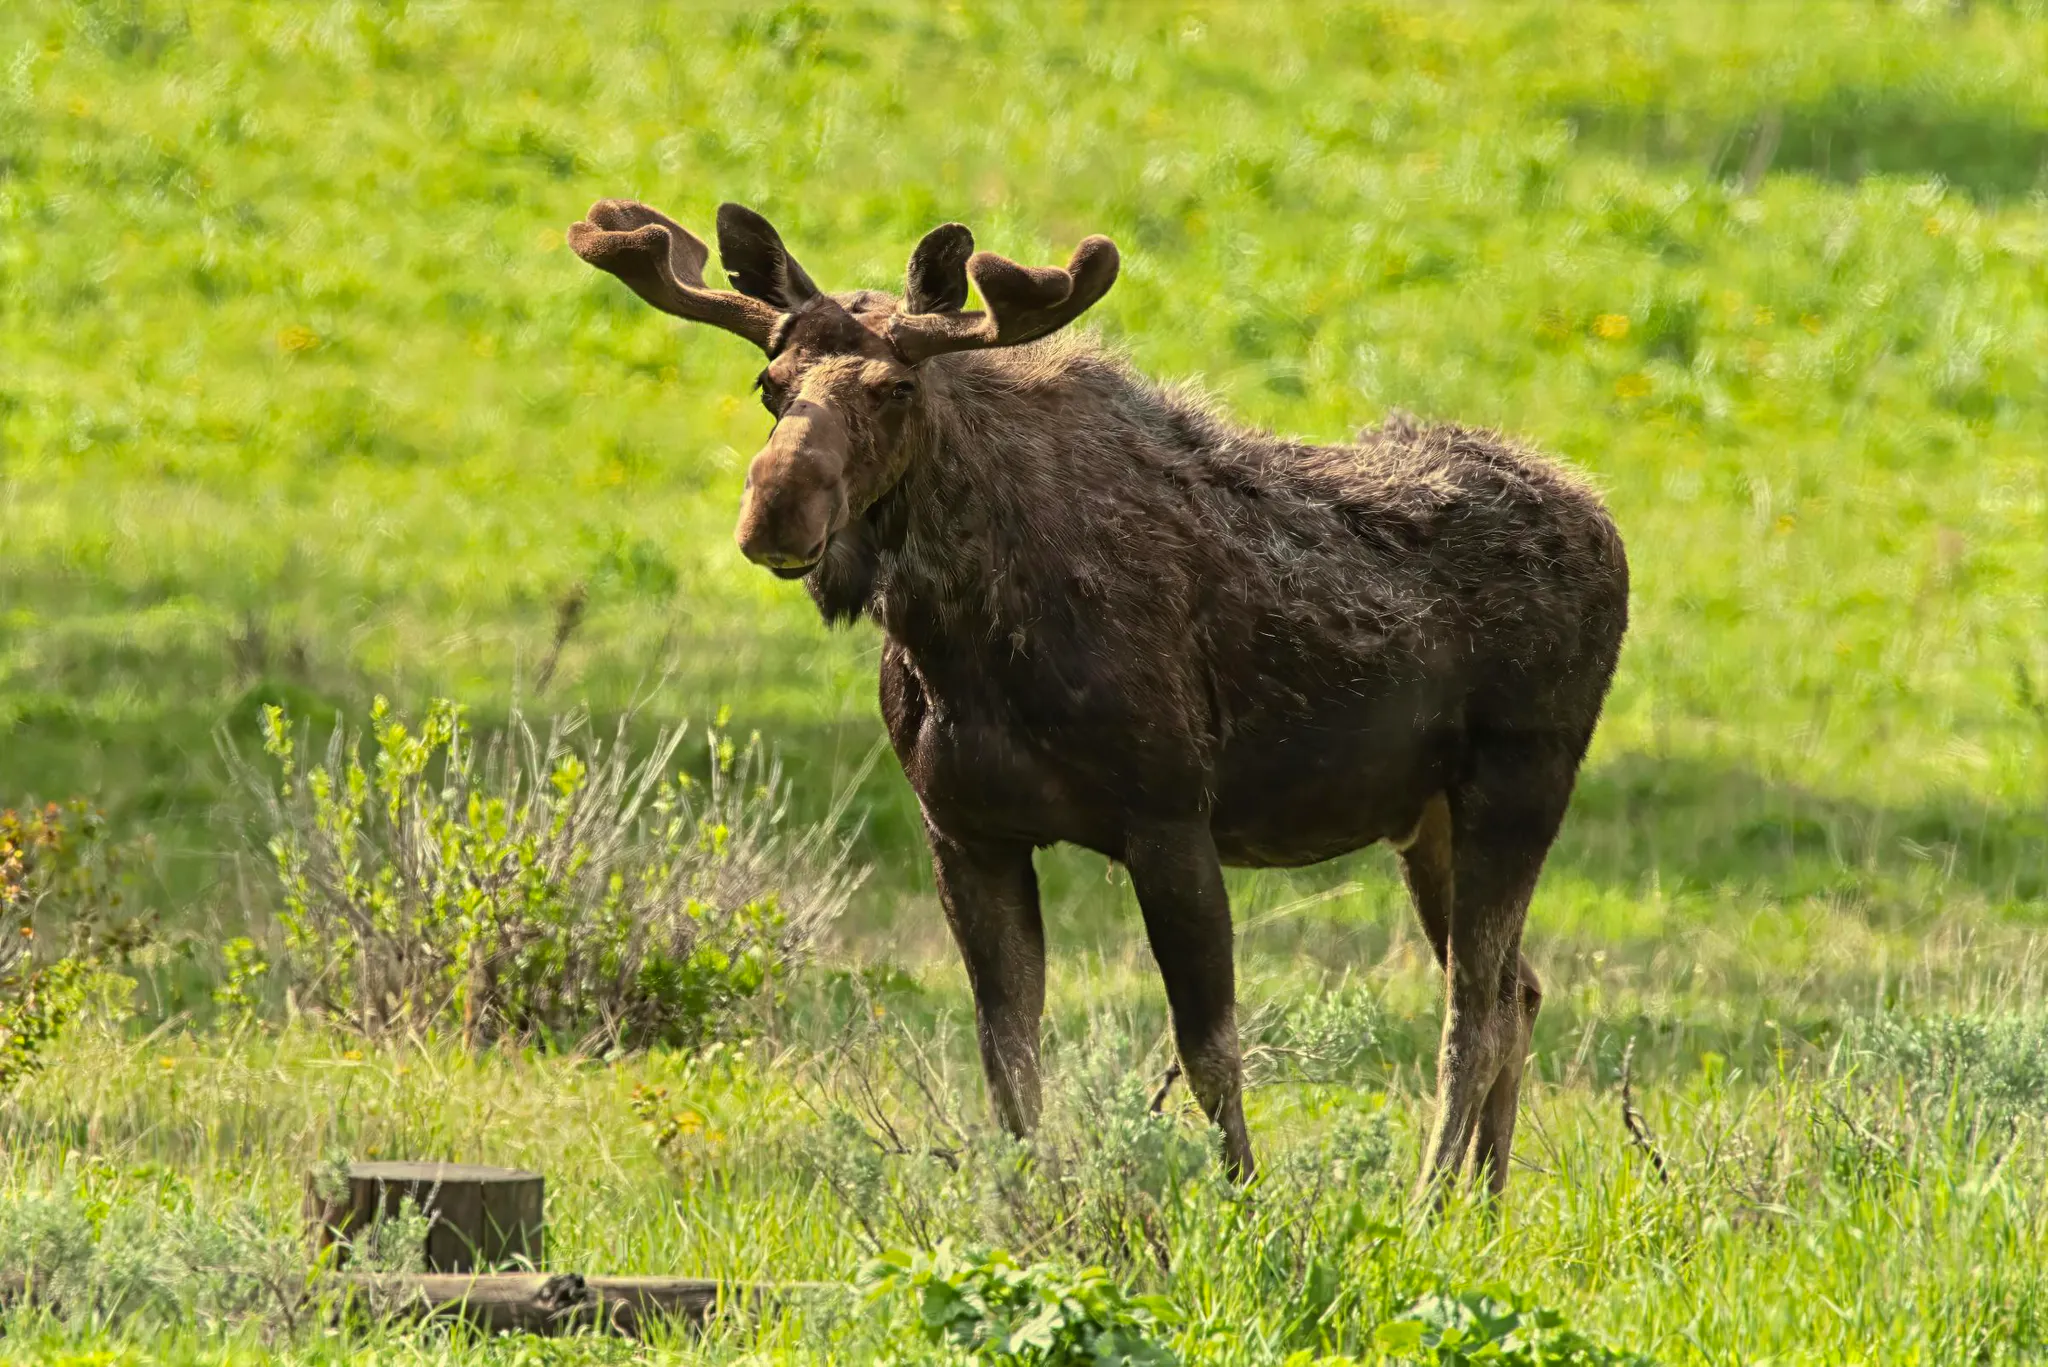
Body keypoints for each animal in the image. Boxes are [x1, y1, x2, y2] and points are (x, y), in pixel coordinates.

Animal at [567, 198, 1628, 1199]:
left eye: (895, 386)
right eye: (769, 384)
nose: (776, 508)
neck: (958, 636)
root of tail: (1611, 530)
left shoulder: (1169, 817)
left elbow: (1209, 1054)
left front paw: (1245, 1210)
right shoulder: (966, 829)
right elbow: (1008, 1061)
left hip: (1519, 781)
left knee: (1472, 1014)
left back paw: (1425, 1205)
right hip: (1428, 818)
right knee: (1519, 990)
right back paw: (1480, 1209)